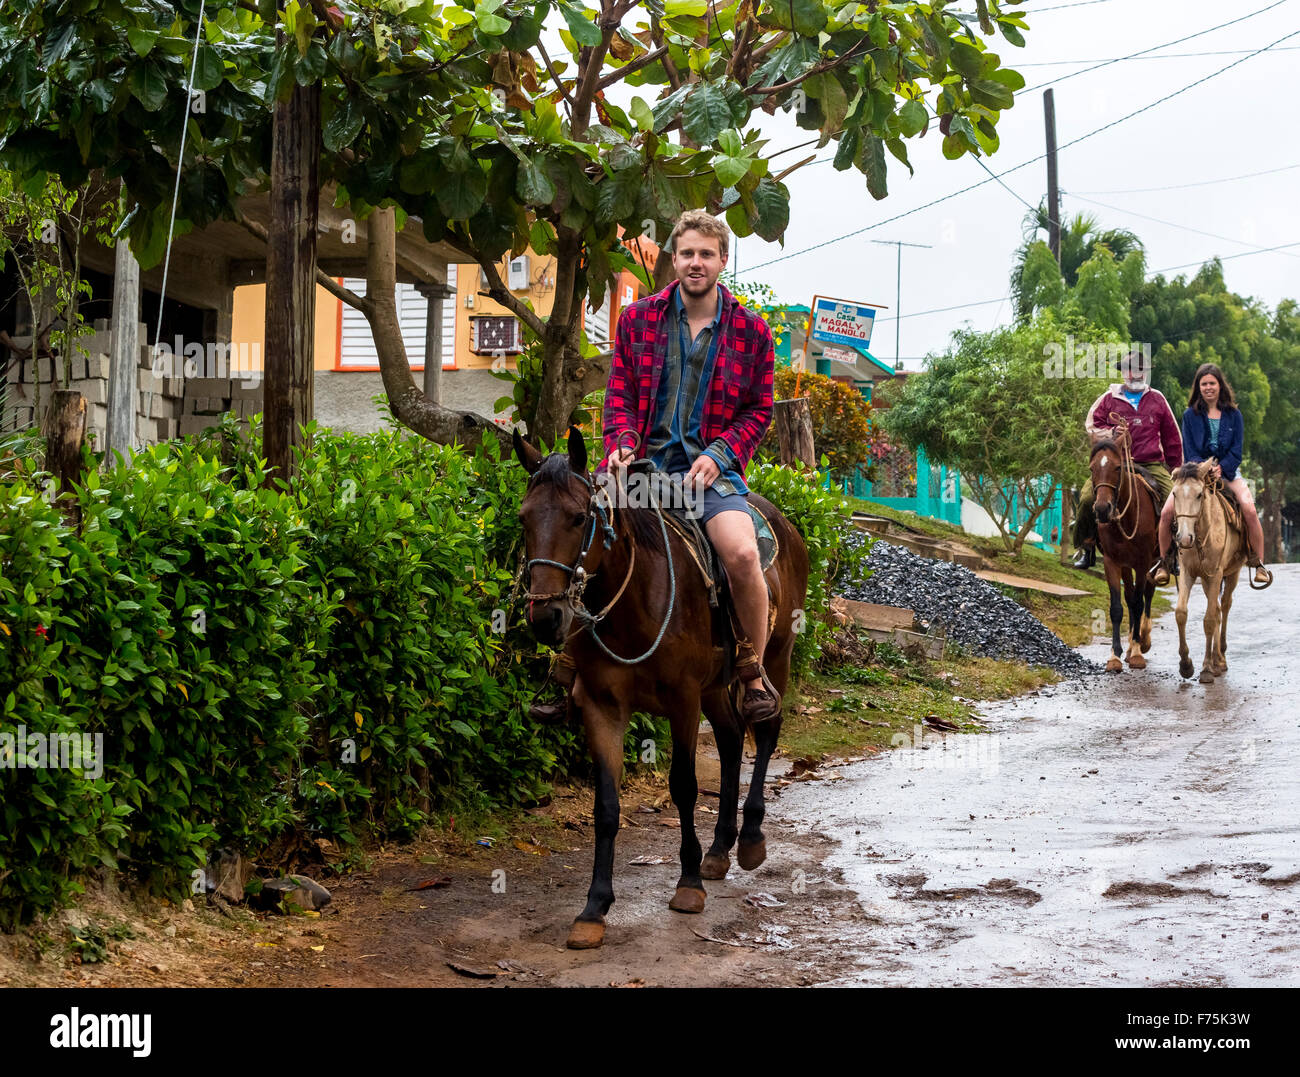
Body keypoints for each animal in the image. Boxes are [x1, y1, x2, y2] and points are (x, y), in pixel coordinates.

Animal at [514, 424, 800, 946]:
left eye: (578, 517)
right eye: (525, 517)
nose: (546, 618)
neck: (633, 601)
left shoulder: (683, 701)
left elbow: (683, 786)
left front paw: (686, 885)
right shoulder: (602, 706)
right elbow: (606, 806)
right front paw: (593, 908)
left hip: (775, 656)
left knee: (765, 729)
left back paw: (749, 839)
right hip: (716, 687)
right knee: (731, 741)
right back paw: (719, 850)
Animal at [1086, 437, 1159, 671]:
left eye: (1118, 467)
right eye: (1092, 468)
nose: (1102, 509)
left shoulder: (1143, 562)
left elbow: (1138, 603)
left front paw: (1137, 651)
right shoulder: (1112, 562)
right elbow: (1118, 607)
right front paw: (1115, 655)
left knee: (1147, 595)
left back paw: (1143, 640)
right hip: (1127, 565)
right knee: (1130, 595)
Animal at [1170, 460, 1248, 681]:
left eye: (1199, 495)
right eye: (1174, 494)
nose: (1184, 538)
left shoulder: (1216, 574)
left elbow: (1209, 620)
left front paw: (1205, 668)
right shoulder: (1188, 572)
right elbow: (1181, 613)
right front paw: (1185, 664)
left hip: (1231, 574)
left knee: (1225, 605)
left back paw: (1220, 657)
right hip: (1205, 580)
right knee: (1219, 609)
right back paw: (1217, 659)